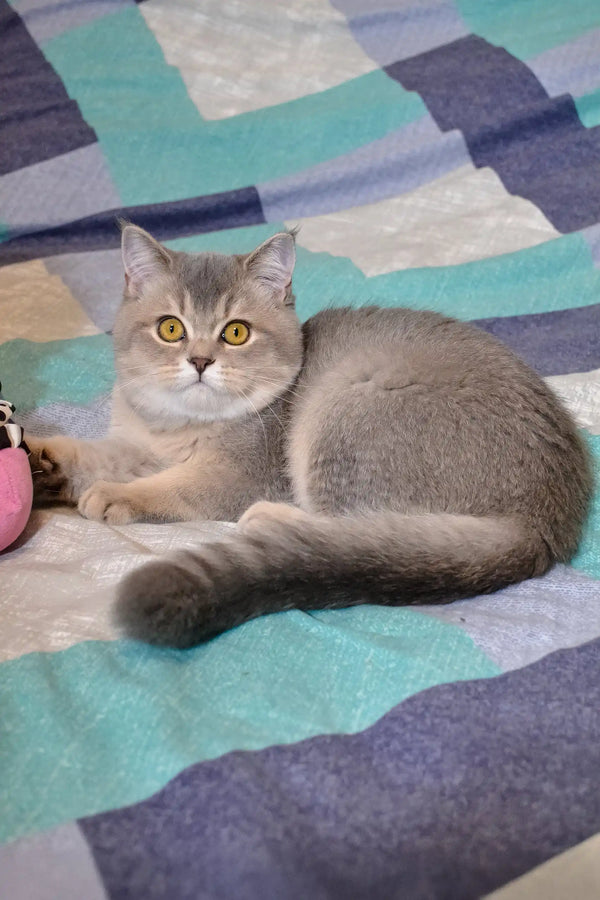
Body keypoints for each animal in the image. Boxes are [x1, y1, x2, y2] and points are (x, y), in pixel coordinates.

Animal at [28, 225, 592, 648]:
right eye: (170, 328)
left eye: (236, 332)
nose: (201, 361)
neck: (178, 426)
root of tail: (543, 524)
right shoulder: (140, 446)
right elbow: (97, 454)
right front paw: (44, 459)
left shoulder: (237, 475)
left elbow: (173, 488)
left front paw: (116, 496)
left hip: (349, 407)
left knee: (355, 527)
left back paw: (273, 520)